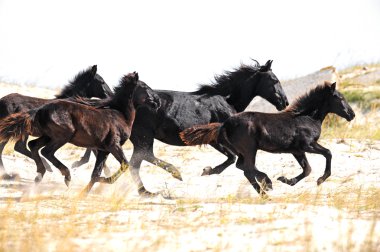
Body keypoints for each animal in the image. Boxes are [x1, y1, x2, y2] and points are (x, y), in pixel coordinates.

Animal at [0, 73, 159, 193]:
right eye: (144, 87)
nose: (157, 102)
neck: (120, 115)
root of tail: (39, 110)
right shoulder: (113, 145)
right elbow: (125, 165)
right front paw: (104, 180)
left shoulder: (103, 149)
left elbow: (96, 173)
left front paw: (84, 193)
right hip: (63, 136)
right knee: (45, 151)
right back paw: (65, 175)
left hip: (47, 136)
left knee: (33, 146)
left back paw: (41, 173)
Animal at [180, 81, 354, 196]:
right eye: (339, 97)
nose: (352, 114)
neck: (307, 117)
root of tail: (225, 124)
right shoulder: (308, 145)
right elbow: (328, 153)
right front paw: (321, 179)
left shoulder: (297, 150)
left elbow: (307, 169)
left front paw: (285, 180)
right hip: (250, 149)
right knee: (248, 169)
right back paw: (266, 187)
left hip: (243, 151)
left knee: (242, 167)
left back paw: (264, 187)